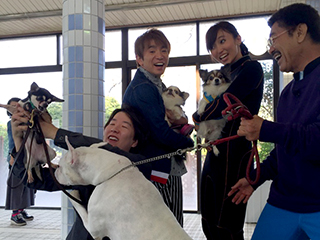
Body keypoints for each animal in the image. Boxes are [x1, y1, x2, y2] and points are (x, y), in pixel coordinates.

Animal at [54, 137, 192, 240]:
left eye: (60, 166)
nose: (54, 170)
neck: (111, 170)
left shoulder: (93, 228)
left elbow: (77, 205)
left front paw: (73, 194)